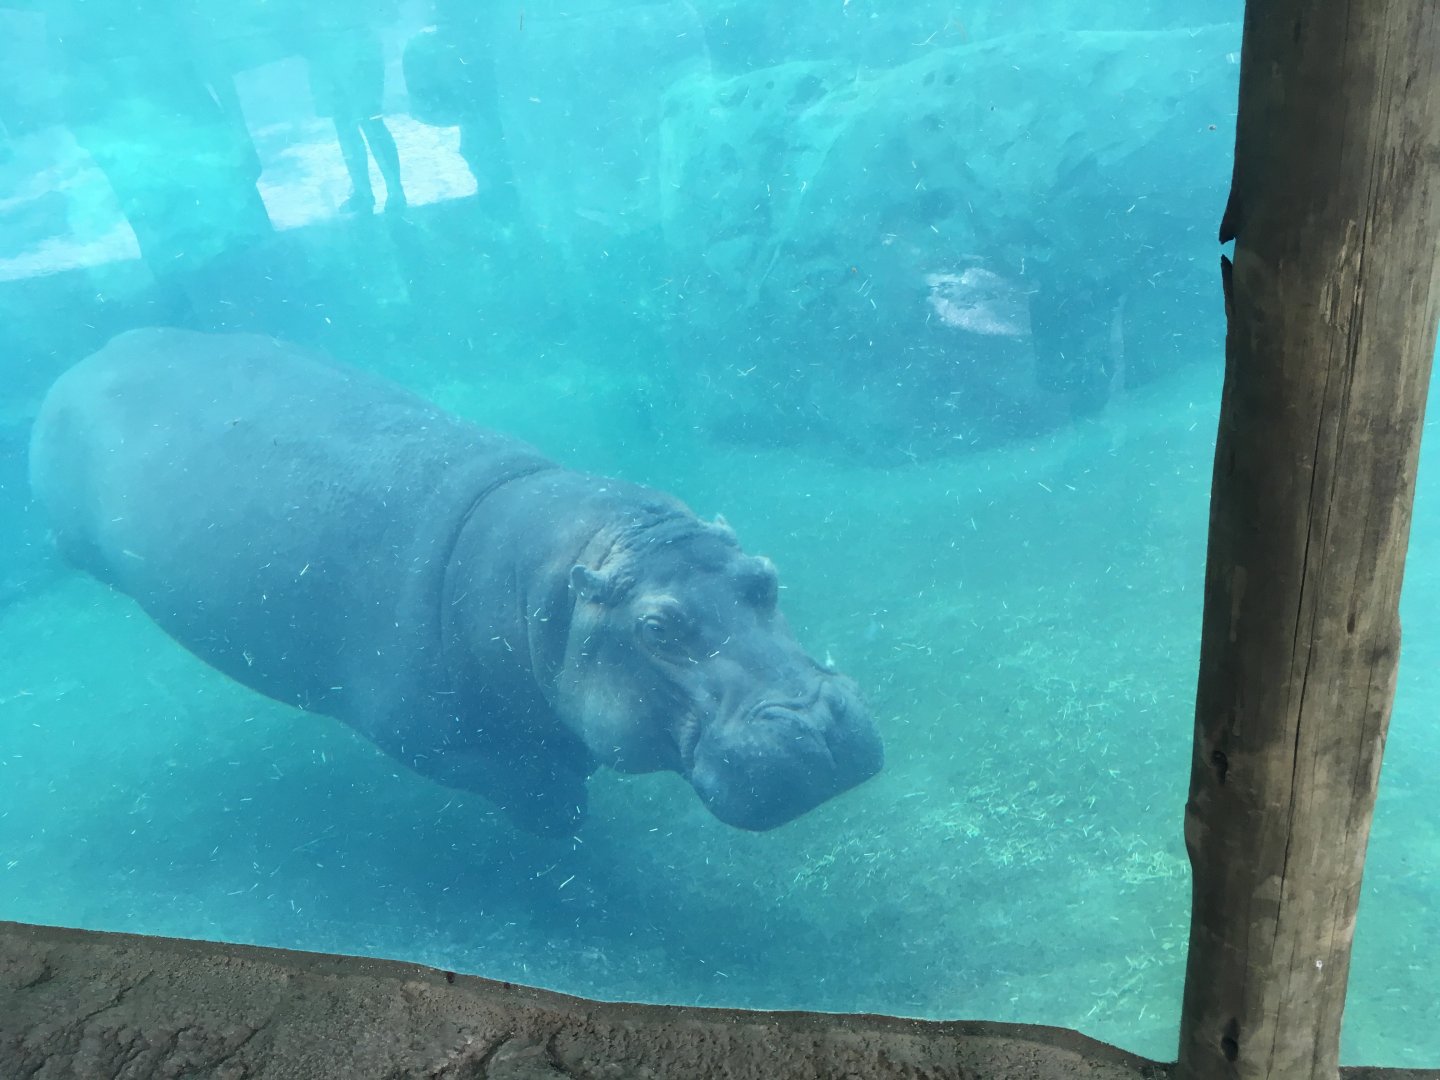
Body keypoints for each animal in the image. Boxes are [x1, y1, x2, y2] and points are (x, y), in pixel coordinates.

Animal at [29, 328, 882, 835]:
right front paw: (566, 808)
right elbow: (542, 794)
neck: (543, 585)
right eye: (657, 628)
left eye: (764, 578)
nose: (820, 724)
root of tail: (96, 350)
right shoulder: (426, 737)